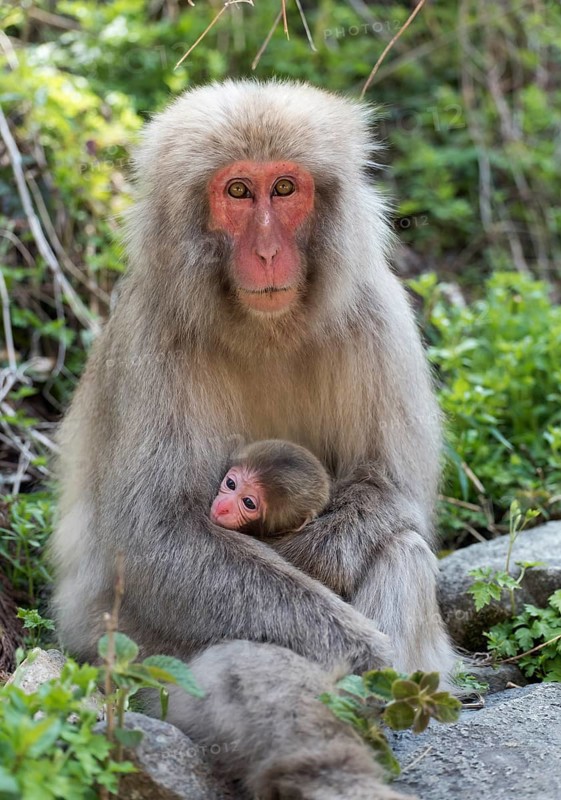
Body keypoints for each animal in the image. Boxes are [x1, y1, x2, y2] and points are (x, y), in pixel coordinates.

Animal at [51, 79, 454, 799]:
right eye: (238, 192)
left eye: (284, 188)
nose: (266, 251)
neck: (263, 327)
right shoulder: (153, 339)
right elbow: (155, 540)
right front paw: (363, 655)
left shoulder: (377, 311)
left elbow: (390, 489)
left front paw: (299, 549)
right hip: (128, 660)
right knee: (239, 661)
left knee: (400, 547)